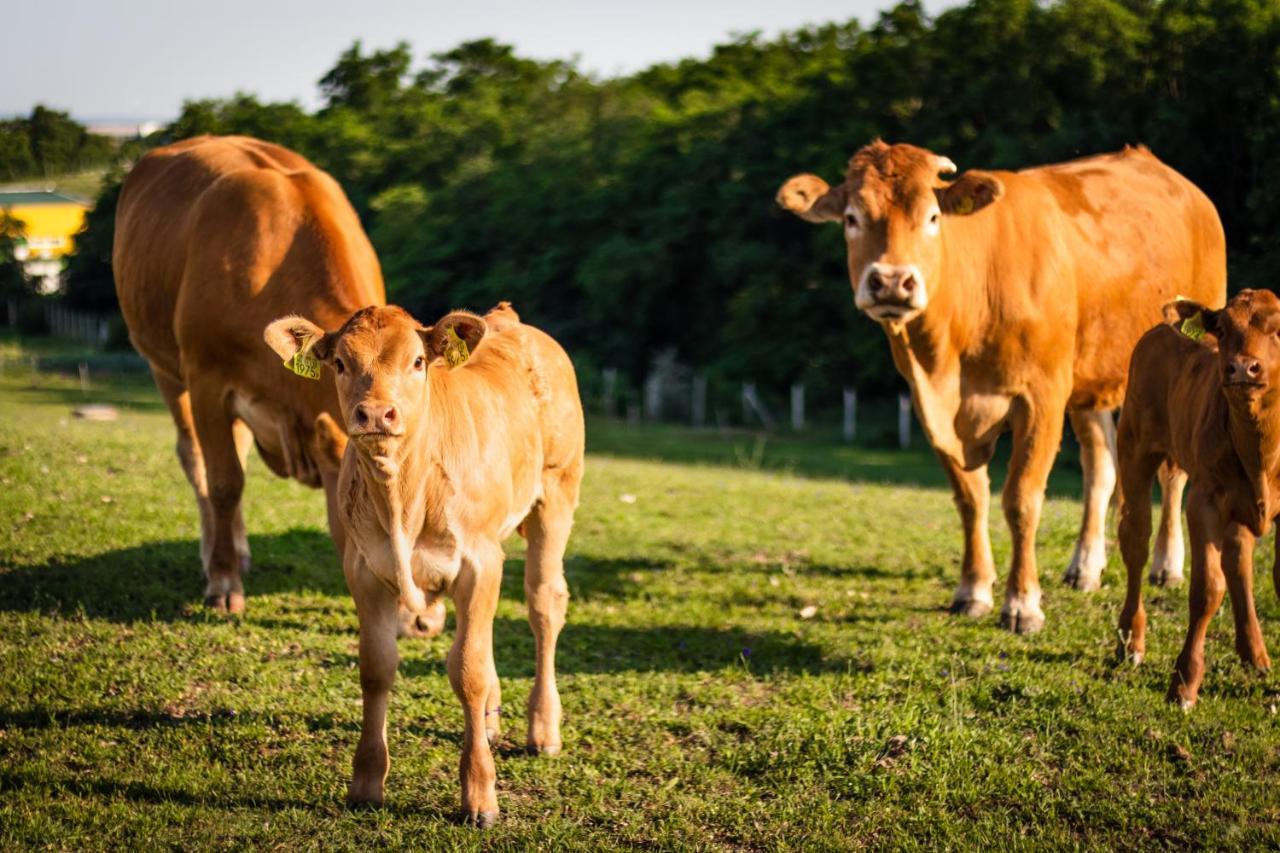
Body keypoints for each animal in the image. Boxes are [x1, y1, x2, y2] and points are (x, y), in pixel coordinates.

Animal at [113, 133, 440, 622]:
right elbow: (224, 483)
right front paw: (223, 584)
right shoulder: (207, 380)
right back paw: (215, 556)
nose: (415, 615)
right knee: (197, 461)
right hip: (164, 368)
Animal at [264, 300, 586, 824]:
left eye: (417, 361)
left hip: (557, 494)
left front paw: (479, 795)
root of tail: (509, 320)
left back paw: (543, 728)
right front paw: (366, 783)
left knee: (544, 605)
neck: (403, 495)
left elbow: (468, 671)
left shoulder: (478, 562)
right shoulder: (364, 571)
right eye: (340, 363)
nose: (376, 412)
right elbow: (377, 668)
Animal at [773, 140, 1223, 630]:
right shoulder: (932, 408)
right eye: (852, 218)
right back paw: (1086, 566)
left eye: (933, 217)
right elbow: (971, 498)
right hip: (1092, 380)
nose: (892, 281)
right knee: (1102, 466)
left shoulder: (1041, 396)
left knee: (1173, 471)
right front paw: (972, 590)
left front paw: (1022, 603)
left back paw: (1166, 565)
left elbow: (1021, 499)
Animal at [1116, 289, 1280, 706]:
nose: (1242, 369)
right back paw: (1131, 641)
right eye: (1221, 328)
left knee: (1239, 560)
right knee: (1135, 542)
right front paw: (1184, 683)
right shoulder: (1204, 500)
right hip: (1135, 449)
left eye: (1279, 328)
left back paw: (1255, 654)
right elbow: (1207, 588)